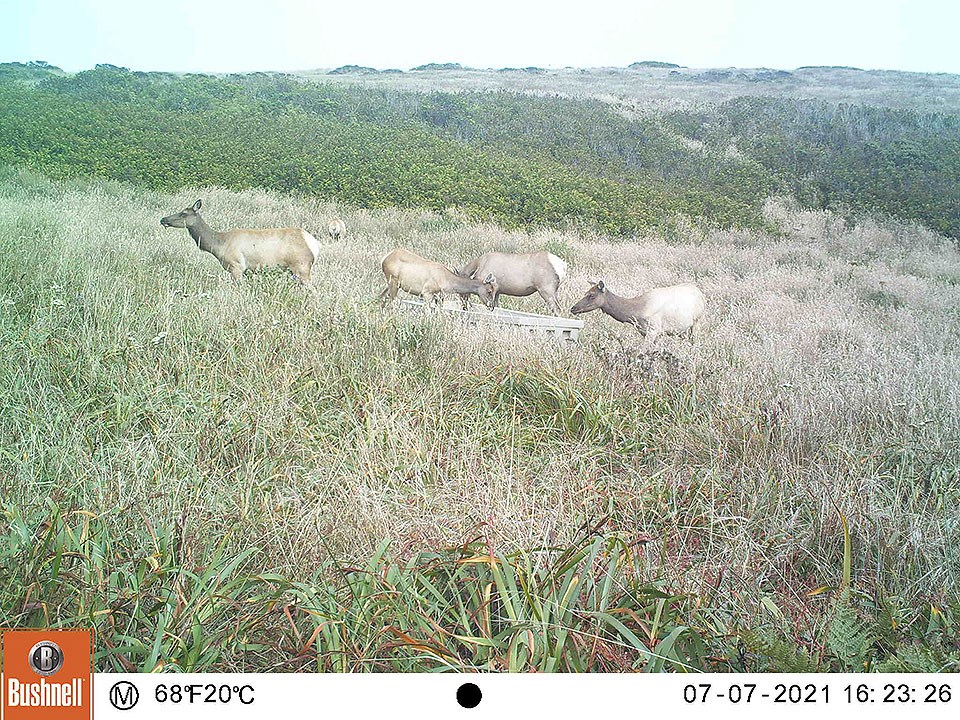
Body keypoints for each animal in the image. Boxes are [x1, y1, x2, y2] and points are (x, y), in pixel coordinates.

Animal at [159, 200, 320, 286]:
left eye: (184, 213)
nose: (163, 219)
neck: (218, 245)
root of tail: (314, 244)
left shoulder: (236, 266)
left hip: (302, 267)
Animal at [568, 280, 704, 342]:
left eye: (591, 295)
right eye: (585, 293)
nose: (573, 308)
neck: (635, 314)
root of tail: (701, 294)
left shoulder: (653, 330)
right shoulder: (645, 332)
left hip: (697, 323)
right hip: (683, 330)